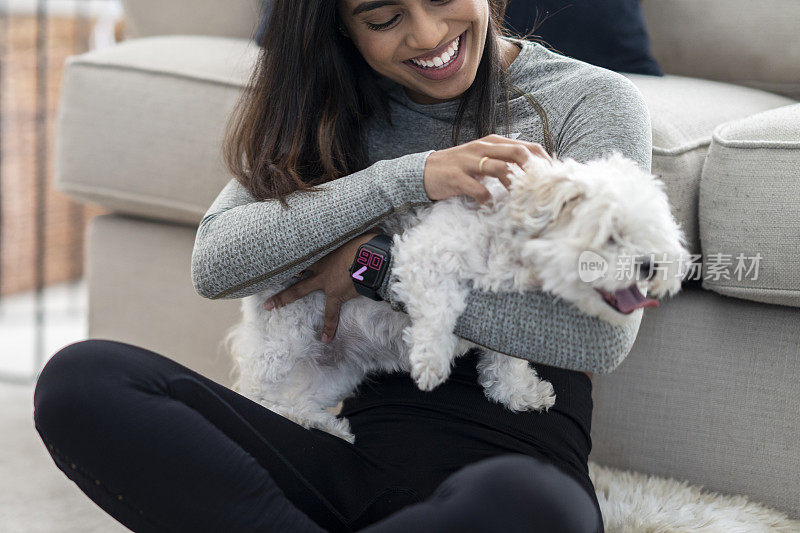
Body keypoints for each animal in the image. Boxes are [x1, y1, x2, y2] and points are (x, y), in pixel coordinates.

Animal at [222, 149, 692, 440]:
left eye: (654, 233)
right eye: (612, 235)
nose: (651, 265)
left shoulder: (509, 316)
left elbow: (506, 361)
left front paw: (519, 392)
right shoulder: (422, 257)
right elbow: (441, 308)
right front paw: (432, 359)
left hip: (335, 371)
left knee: (297, 399)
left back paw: (327, 426)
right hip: (282, 344)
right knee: (257, 395)